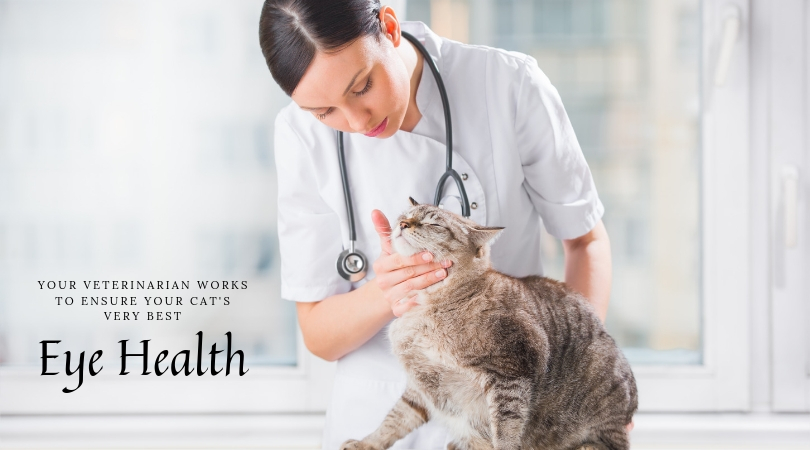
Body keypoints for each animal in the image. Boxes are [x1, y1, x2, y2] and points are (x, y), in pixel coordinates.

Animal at [338, 200, 636, 450]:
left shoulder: (512, 369)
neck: (425, 307)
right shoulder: (420, 385)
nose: (402, 224)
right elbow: (394, 420)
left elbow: (506, 429)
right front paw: (365, 443)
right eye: (405, 215)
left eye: (435, 224)